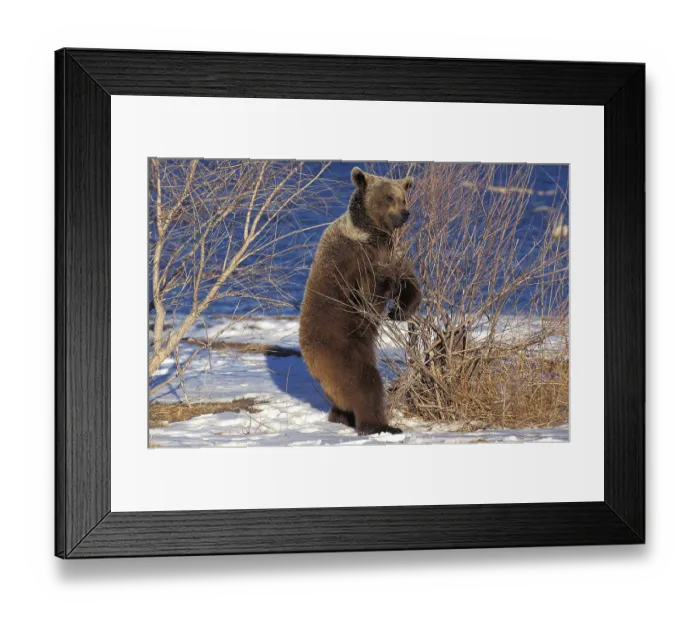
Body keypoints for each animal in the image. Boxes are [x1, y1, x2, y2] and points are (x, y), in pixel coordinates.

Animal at [299, 166, 422, 436]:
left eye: (403, 198)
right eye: (389, 197)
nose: (405, 213)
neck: (373, 234)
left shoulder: (395, 253)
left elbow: (410, 283)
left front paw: (399, 311)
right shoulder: (353, 260)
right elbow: (367, 296)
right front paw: (387, 292)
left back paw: (340, 416)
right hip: (340, 346)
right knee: (364, 381)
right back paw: (379, 425)